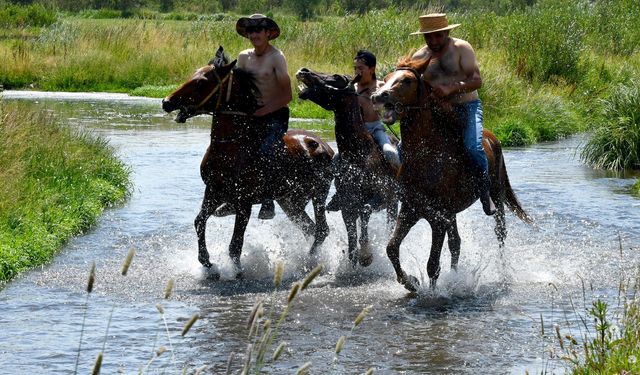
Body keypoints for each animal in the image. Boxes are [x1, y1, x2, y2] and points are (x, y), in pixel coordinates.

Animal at [161, 47, 336, 278]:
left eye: (200, 82)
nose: (166, 102)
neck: (231, 146)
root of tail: (326, 147)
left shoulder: (244, 202)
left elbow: (235, 244)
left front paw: (236, 271)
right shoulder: (214, 191)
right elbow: (199, 221)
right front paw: (208, 263)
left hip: (318, 194)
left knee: (321, 229)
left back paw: (309, 261)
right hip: (291, 201)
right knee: (310, 228)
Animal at [296, 67, 398, 268]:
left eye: (336, 77)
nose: (304, 71)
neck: (358, 154)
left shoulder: (382, 198)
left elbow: (366, 211)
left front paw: (366, 255)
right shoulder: (347, 206)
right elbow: (352, 236)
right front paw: (352, 263)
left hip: (393, 203)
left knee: (389, 224)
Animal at [370, 58, 528, 294]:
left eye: (406, 80)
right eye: (387, 78)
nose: (378, 96)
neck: (426, 157)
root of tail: (492, 138)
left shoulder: (438, 218)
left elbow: (432, 264)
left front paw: (432, 292)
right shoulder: (410, 211)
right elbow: (391, 248)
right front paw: (411, 282)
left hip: (496, 196)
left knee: (500, 233)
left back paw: (503, 273)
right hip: (452, 213)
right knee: (456, 244)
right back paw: (455, 277)